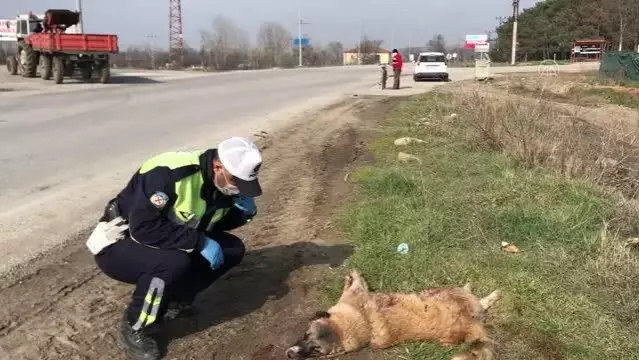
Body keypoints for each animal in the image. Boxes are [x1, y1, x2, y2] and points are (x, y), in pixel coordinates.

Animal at [288, 272, 502, 358]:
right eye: (306, 335)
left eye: (316, 349)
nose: (290, 354)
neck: (364, 321)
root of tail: (472, 326)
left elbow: (355, 282)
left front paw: (352, 277)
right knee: (481, 301)